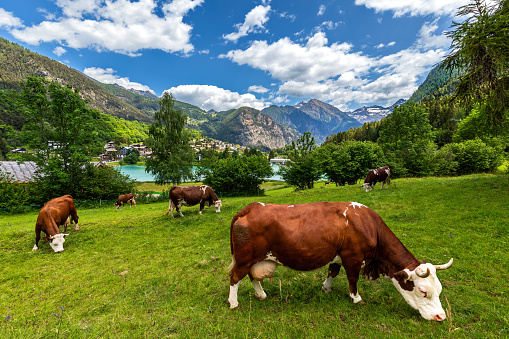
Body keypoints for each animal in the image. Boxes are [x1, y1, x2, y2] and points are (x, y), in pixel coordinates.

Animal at [226, 203, 452, 322]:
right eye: (423, 290)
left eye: (440, 289)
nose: (441, 316)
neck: (366, 223)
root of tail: (250, 207)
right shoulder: (353, 255)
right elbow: (352, 278)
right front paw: (356, 298)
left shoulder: (338, 254)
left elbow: (332, 271)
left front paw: (326, 288)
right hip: (245, 258)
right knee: (235, 277)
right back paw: (233, 303)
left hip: (254, 259)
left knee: (252, 277)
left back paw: (261, 294)